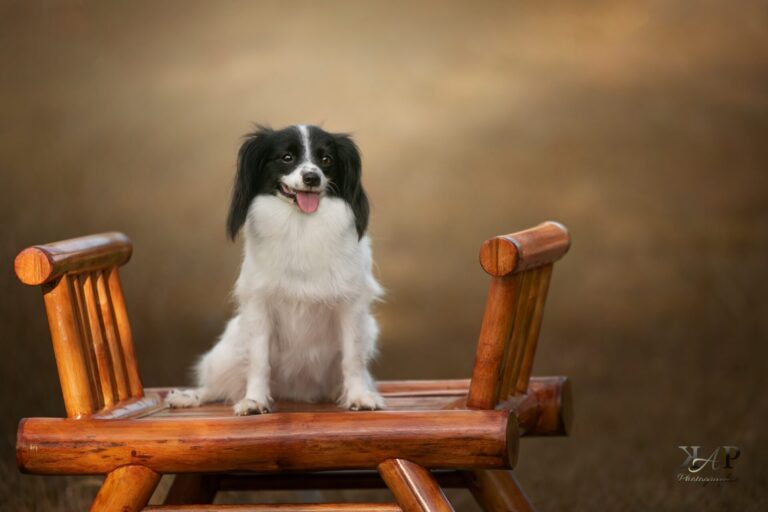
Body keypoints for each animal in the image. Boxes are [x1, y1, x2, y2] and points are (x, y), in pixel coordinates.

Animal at [167, 125, 384, 416]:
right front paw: (255, 401)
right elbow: (259, 362)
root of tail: (297, 391)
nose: (312, 177)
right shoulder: (260, 306)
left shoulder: (351, 307)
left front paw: (359, 396)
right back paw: (188, 397)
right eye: (287, 158)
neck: (302, 226)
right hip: (228, 350)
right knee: (217, 387)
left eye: (326, 160)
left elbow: (353, 358)